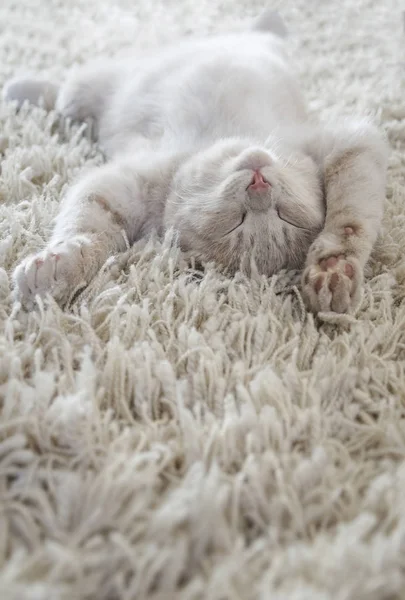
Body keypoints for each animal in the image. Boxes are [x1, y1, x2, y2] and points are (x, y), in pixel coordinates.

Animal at [4, 9, 386, 314]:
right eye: (237, 220)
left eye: (283, 215)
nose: (259, 186)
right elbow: (84, 225)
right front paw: (61, 264)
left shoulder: (352, 145)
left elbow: (351, 222)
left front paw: (334, 268)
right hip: (93, 87)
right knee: (60, 92)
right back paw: (18, 90)